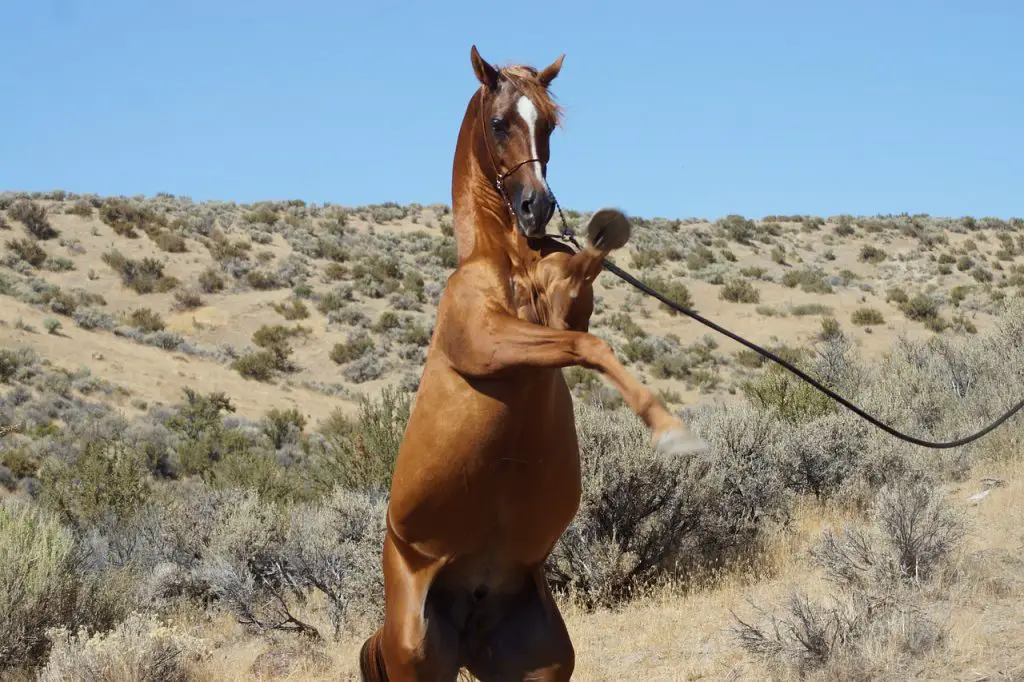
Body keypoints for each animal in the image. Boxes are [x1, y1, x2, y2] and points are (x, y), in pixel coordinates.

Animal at [358, 45, 704, 675]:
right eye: (499, 123)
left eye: (547, 124)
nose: (536, 206)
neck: (506, 257)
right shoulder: (491, 343)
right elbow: (592, 347)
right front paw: (671, 431)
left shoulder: (560, 314)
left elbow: (586, 270)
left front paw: (605, 229)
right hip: (418, 658)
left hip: (541, 664)